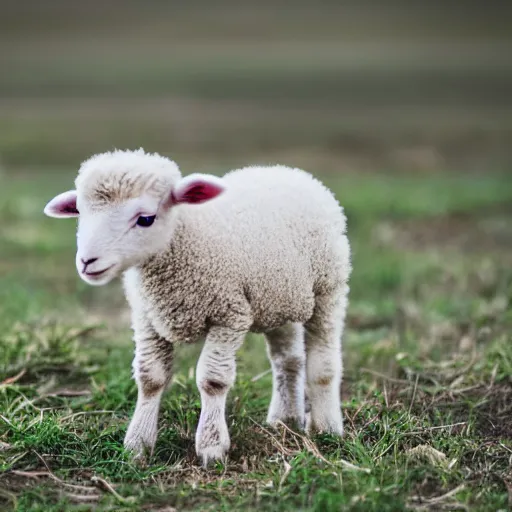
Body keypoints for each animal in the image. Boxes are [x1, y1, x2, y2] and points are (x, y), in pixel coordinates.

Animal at [44, 147, 352, 464]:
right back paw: (284, 419)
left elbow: (212, 380)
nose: (86, 262)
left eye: (145, 219)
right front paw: (137, 445)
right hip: (279, 300)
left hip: (328, 287)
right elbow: (150, 377)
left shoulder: (229, 315)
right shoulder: (147, 318)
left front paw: (212, 447)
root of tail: (286, 170)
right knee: (287, 360)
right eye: (80, 213)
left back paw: (326, 427)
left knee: (323, 360)